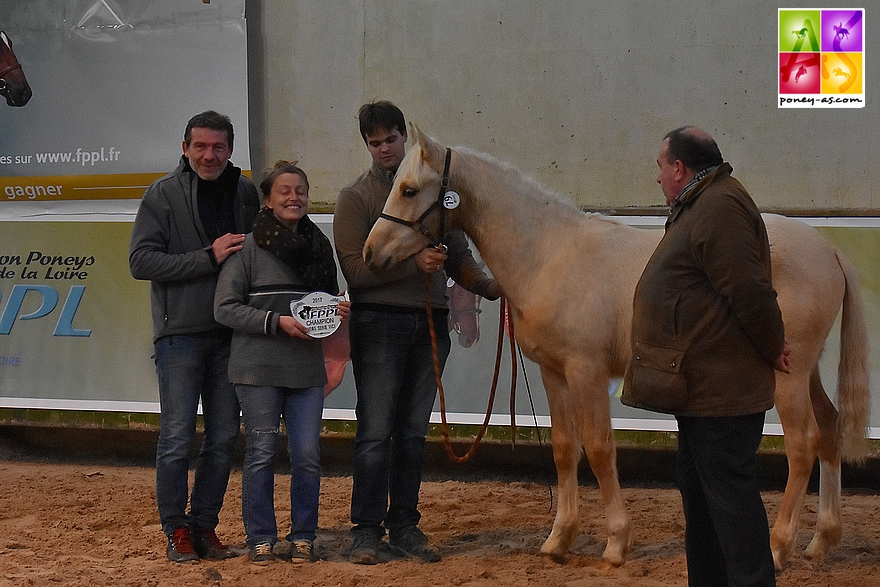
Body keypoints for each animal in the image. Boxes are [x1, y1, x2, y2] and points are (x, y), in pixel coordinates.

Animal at [360, 126, 868, 572]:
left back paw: (780, 547)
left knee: (802, 445)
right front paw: (558, 541)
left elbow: (601, 448)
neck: (549, 253)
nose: (370, 253)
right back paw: (821, 543)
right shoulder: (554, 373)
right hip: (806, 371)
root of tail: (828, 251)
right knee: (829, 429)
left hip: (787, 375)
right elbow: (565, 448)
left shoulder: (586, 371)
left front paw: (616, 544)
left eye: (408, 189)